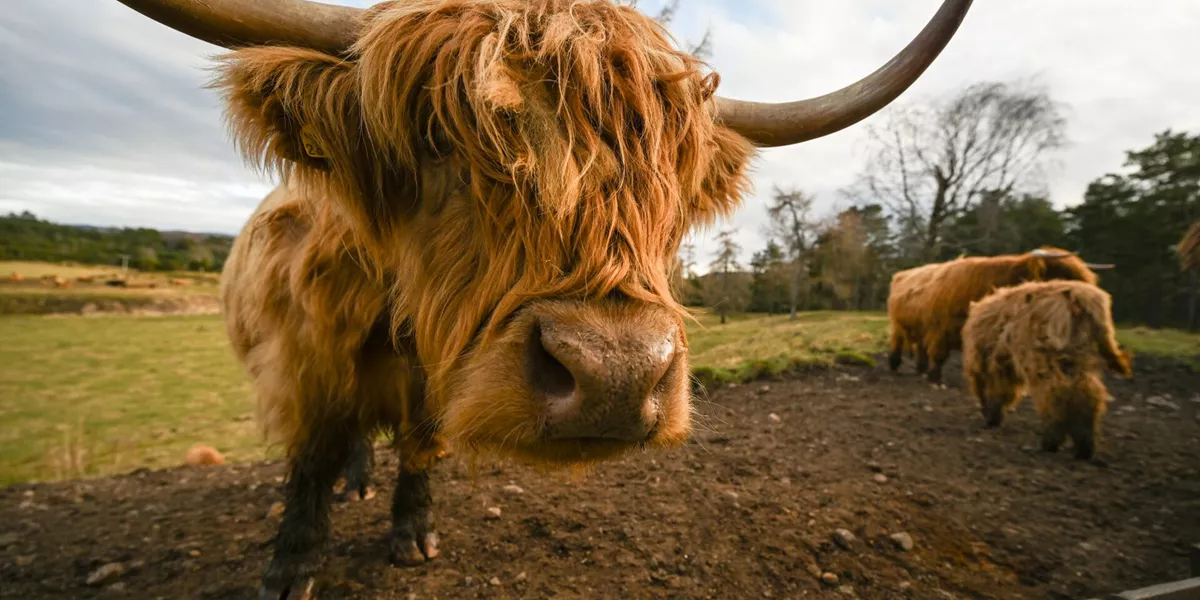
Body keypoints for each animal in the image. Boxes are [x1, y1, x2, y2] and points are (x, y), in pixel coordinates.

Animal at [114, 0, 973, 596]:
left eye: (672, 175)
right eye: (436, 141)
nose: (616, 378)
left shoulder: (432, 385)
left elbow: (419, 449)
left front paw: (413, 534)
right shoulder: (305, 361)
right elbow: (310, 459)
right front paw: (291, 567)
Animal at [887, 248, 1112, 384]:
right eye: (1065, 277)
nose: (1094, 298)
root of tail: (902, 274)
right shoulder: (939, 329)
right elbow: (939, 355)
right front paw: (935, 378)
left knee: (920, 347)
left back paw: (920, 368)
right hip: (899, 325)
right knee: (899, 342)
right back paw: (895, 365)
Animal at [961, 280, 1132, 460]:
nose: (987, 419)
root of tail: (1080, 296)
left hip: (1046, 358)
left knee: (1055, 393)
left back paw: (1051, 442)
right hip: (1079, 356)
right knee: (1087, 394)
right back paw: (1084, 448)